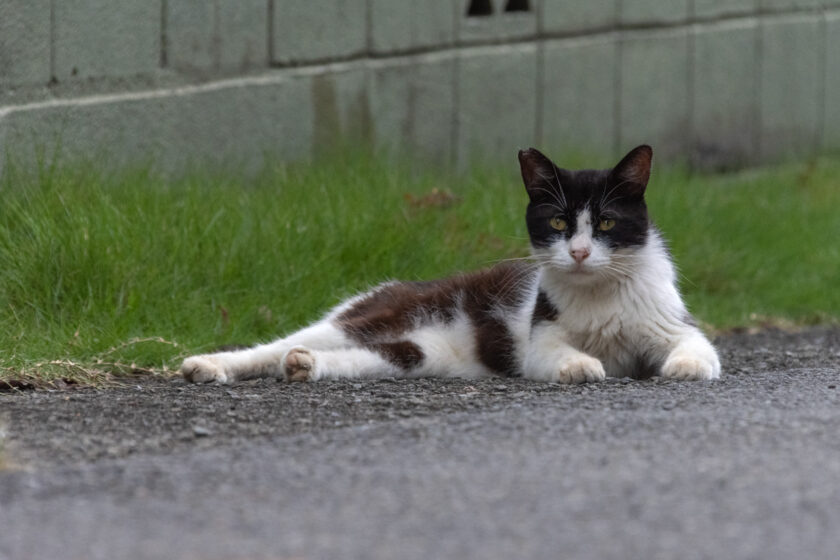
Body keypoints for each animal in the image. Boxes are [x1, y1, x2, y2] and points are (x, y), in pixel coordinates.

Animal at [180, 145, 720, 384]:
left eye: (607, 222)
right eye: (558, 223)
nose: (581, 252)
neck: (600, 294)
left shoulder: (671, 323)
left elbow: (700, 349)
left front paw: (684, 368)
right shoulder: (539, 338)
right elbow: (559, 355)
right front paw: (583, 366)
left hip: (419, 353)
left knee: (360, 357)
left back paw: (303, 367)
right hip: (376, 314)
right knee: (278, 345)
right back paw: (207, 366)